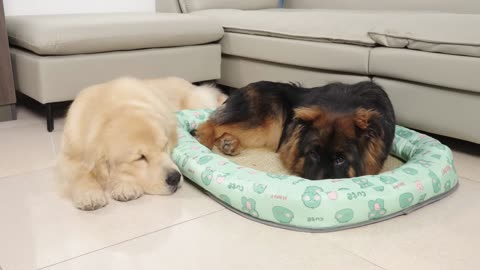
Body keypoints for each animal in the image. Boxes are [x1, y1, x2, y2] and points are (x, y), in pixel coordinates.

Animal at [58, 77, 227, 210]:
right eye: (140, 158)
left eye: (164, 146)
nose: (174, 178)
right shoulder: (68, 155)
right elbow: (79, 173)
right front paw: (89, 195)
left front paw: (124, 186)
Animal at [193, 81, 396, 180]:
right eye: (313, 153)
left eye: (340, 159)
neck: (344, 103)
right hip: (267, 122)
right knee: (211, 123)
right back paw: (203, 141)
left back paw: (229, 142)